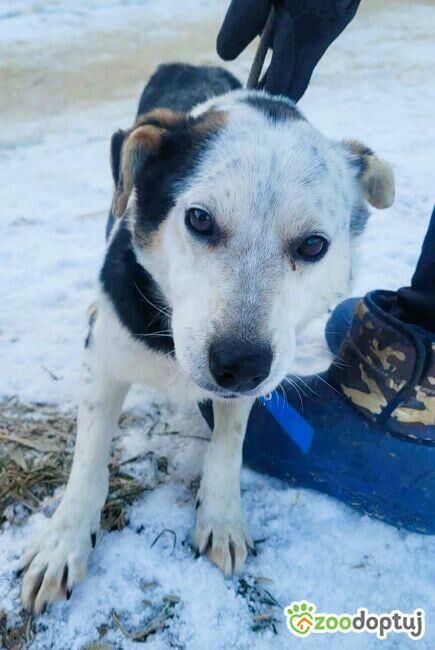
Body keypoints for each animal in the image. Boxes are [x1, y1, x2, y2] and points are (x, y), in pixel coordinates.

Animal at [20, 63, 394, 613]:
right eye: (199, 219)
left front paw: (220, 516)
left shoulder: (257, 379)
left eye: (313, 245)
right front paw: (63, 542)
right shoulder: (103, 361)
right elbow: (89, 459)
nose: (239, 364)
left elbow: (229, 443)